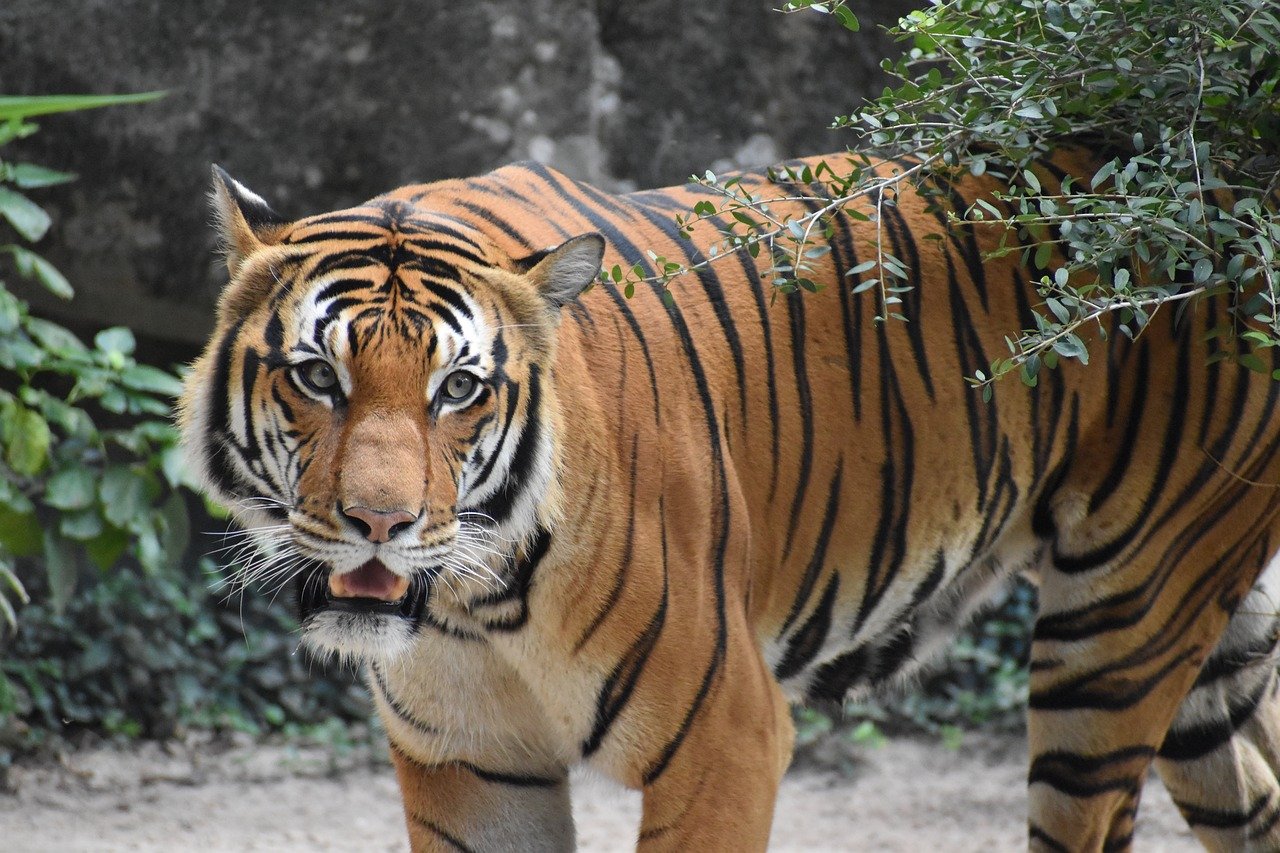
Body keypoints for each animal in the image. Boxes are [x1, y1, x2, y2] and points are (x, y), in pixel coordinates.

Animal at [177, 147, 1280, 850]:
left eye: (459, 389)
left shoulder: (726, 738)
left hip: (1116, 635)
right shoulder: (471, 763)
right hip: (1205, 655)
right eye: (317, 376)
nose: (381, 524)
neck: (473, 605)